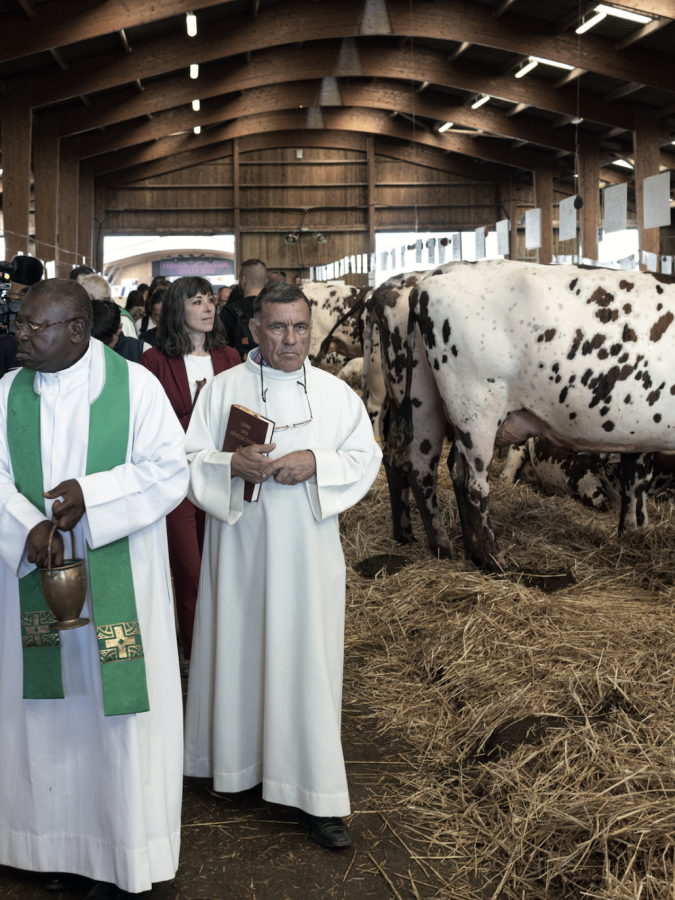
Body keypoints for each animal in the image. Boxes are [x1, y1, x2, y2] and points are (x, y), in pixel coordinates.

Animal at [390, 260, 675, 568]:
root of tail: (445, 271)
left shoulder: (640, 442)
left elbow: (636, 483)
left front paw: (633, 532)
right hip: (476, 408)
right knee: (472, 484)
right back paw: (493, 559)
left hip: (425, 398)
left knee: (430, 467)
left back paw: (460, 550)